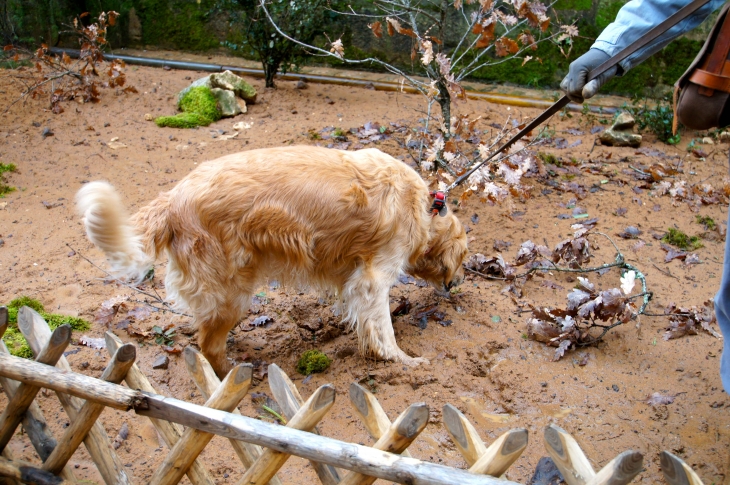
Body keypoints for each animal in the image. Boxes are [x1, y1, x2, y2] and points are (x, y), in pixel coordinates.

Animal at [77, 146, 470, 376]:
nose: (459, 284)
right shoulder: (374, 278)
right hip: (232, 292)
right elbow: (384, 329)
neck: (425, 206)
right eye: (463, 260)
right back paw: (235, 375)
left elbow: (361, 317)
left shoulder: (354, 277)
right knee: (208, 346)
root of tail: (172, 198)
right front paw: (401, 361)